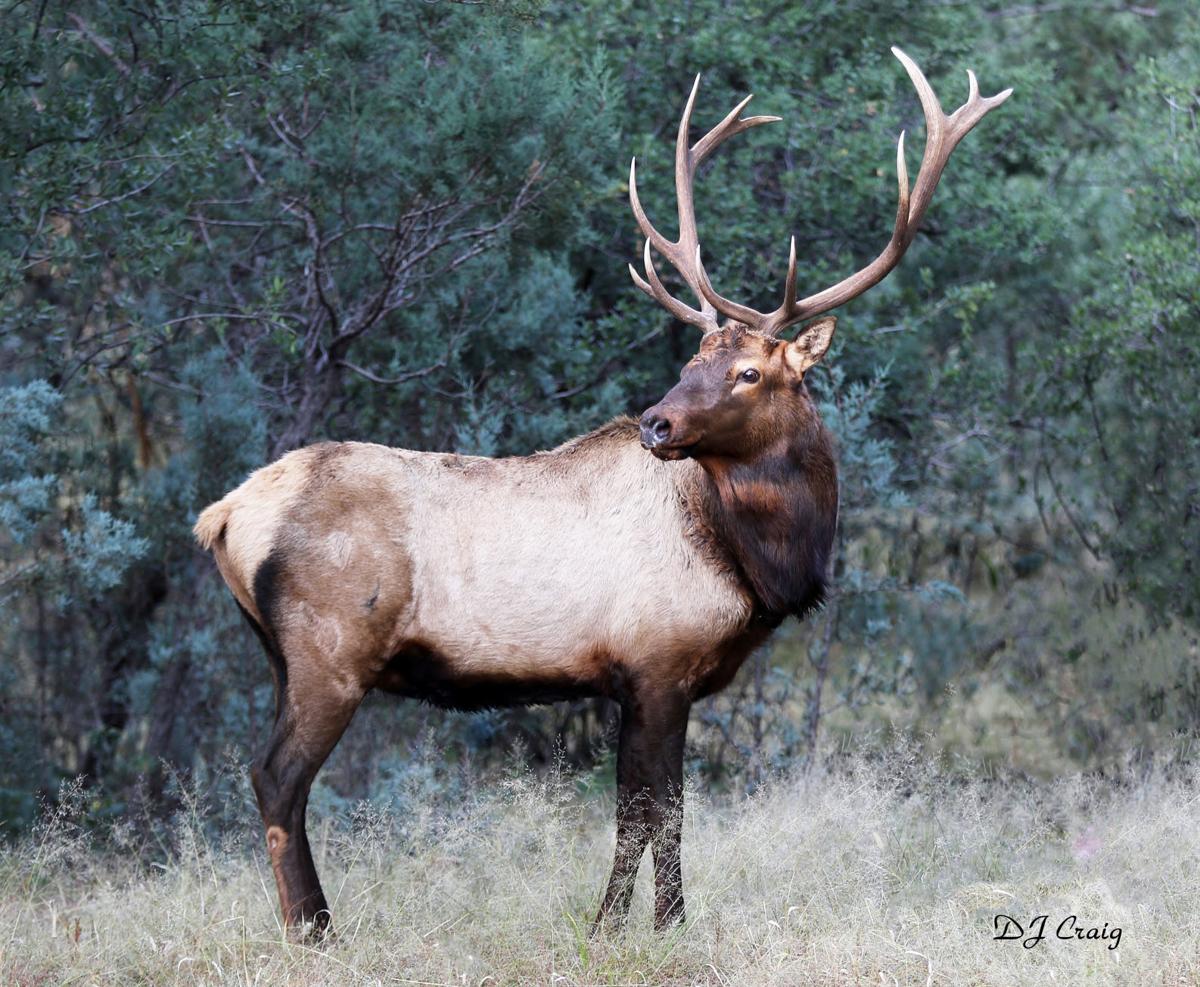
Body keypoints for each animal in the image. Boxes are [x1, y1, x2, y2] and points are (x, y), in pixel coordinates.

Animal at [193, 47, 1010, 939]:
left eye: (746, 371)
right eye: (694, 361)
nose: (656, 421)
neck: (754, 563)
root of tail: (222, 514)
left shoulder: (644, 678)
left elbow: (653, 808)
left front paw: (635, 921)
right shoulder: (657, 660)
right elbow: (652, 809)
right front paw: (643, 926)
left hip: (279, 655)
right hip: (329, 649)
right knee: (277, 777)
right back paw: (315, 929)